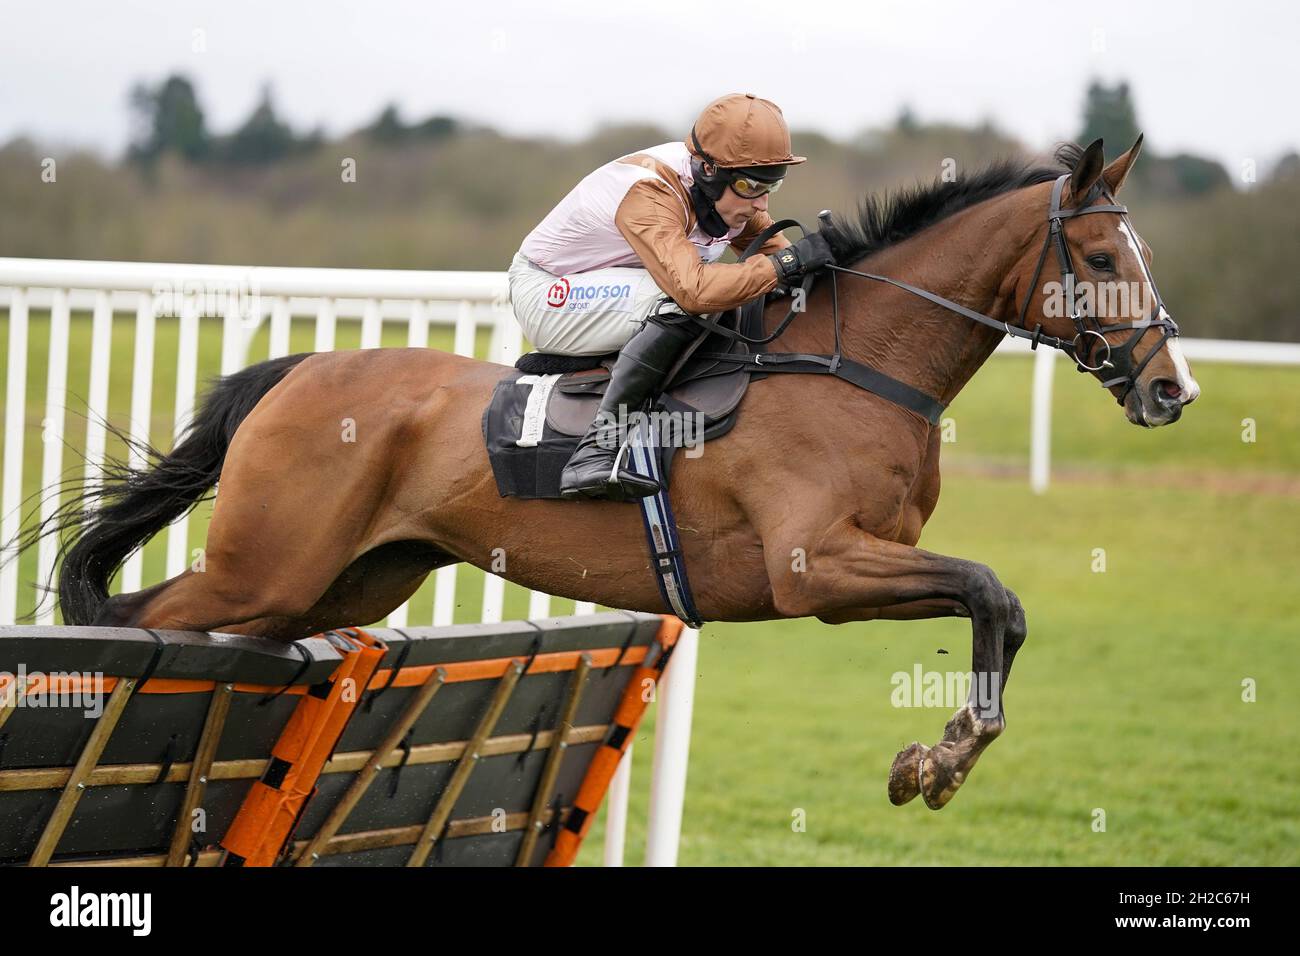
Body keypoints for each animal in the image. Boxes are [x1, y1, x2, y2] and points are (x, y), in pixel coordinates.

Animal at [27, 136, 1196, 806]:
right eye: (1101, 260)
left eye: (1139, 258)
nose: (1171, 389)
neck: (855, 364)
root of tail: (301, 368)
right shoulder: (815, 570)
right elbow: (988, 589)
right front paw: (942, 756)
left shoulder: (867, 564)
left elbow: (998, 604)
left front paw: (939, 757)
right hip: (264, 564)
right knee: (136, 618)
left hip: (342, 580)